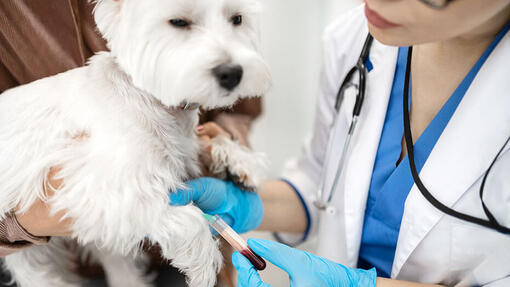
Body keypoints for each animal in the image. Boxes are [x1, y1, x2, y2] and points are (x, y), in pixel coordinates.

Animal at [0, 0, 270, 286]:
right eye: (178, 22)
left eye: (237, 19)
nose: (232, 73)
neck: (154, 101)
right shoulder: (99, 188)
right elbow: (189, 219)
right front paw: (204, 266)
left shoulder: (185, 147)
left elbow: (211, 140)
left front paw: (242, 163)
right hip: (31, 249)